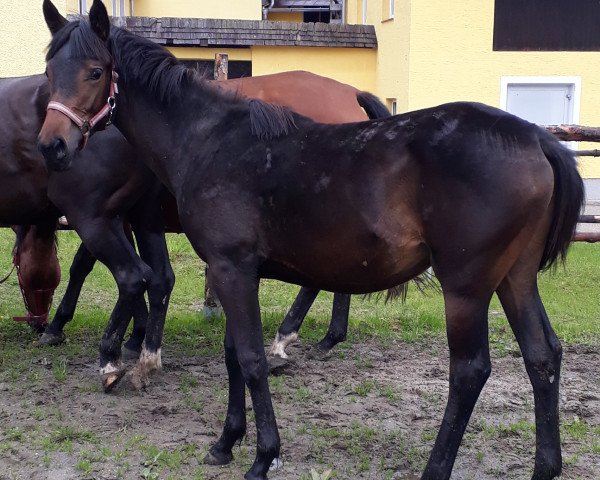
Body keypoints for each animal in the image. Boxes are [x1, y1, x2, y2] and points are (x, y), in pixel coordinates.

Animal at [38, 1, 584, 478]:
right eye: (48, 71)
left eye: (94, 71)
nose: (52, 147)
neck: (209, 139)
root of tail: (537, 138)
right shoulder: (235, 271)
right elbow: (234, 353)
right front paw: (225, 442)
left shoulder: (231, 268)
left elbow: (252, 358)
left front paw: (263, 456)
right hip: (515, 279)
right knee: (543, 355)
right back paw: (545, 466)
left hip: (467, 288)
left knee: (469, 371)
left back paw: (436, 467)